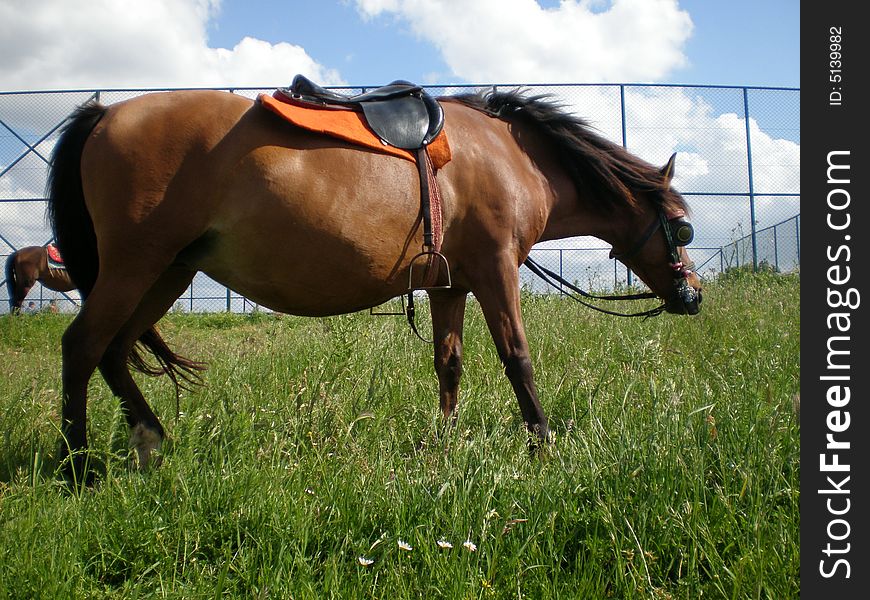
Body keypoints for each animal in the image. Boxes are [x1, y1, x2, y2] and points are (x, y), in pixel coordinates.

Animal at [46, 88, 700, 482]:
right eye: (683, 228)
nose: (692, 295)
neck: (509, 155)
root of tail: (106, 113)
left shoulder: (449, 286)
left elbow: (448, 363)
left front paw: (445, 440)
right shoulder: (496, 270)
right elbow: (518, 358)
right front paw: (543, 443)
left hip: (166, 273)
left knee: (113, 350)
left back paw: (149, 438)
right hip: (135, 265)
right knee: (82, 347)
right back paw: (77, 465)